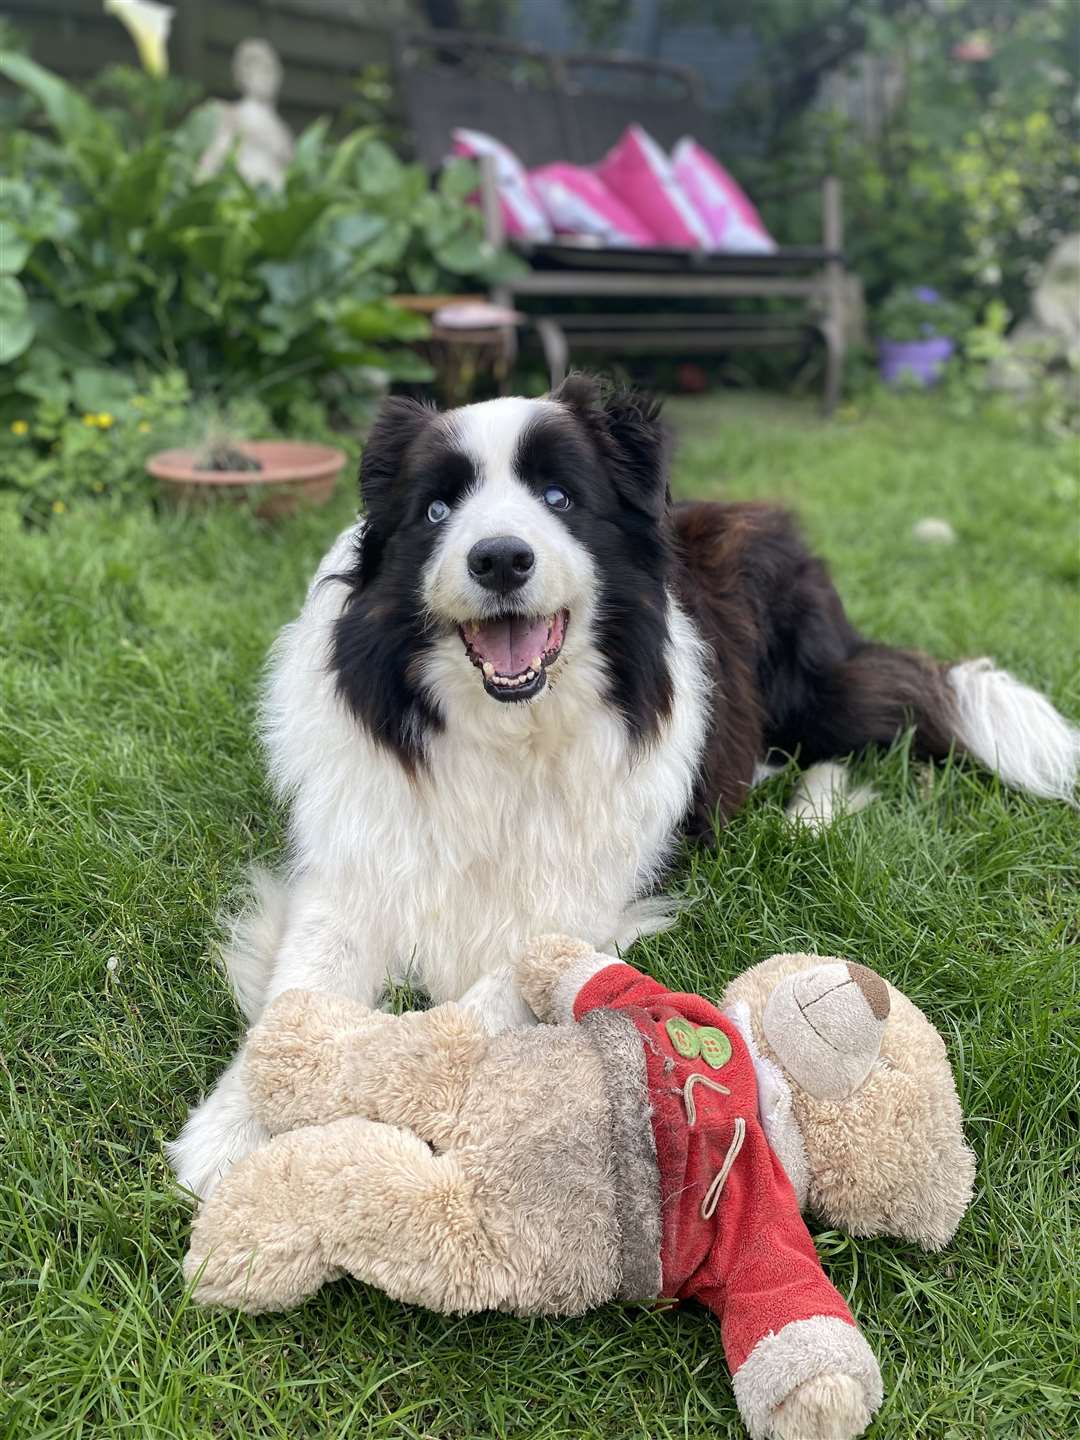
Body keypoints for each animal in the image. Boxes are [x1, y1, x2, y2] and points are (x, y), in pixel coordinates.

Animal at [169, 374, 1080, 1203]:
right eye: (435, 511)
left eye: (560, 497)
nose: (500, 558)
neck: (506, 735)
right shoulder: (355, 867)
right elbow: (298, 994)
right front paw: (231, 1129)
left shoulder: (580, 894)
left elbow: (470, 1016)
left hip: (802, 673)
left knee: (855, 729)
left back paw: (807, 813)